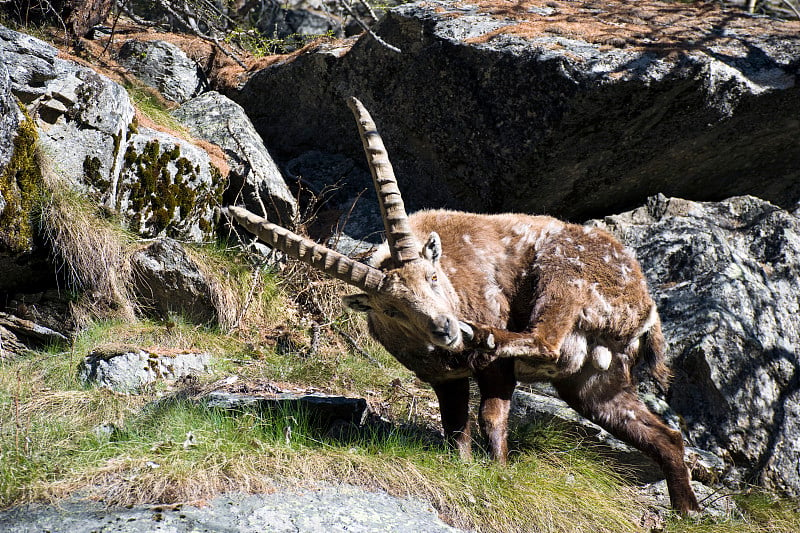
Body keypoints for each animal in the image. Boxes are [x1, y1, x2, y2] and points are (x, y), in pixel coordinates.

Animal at [225, 96, 700, 512]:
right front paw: (467, 467)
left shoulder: (495, 369)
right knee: (663, 436)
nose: (446, 329)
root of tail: (645, 301)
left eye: (433, 278)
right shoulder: (444, 378)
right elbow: (455, 426)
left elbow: (491, 416)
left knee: (545, 340)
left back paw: (485, 335)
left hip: (565, 277)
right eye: (391, 309)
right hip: (594, 382)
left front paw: (500, 471)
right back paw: (685, 510)